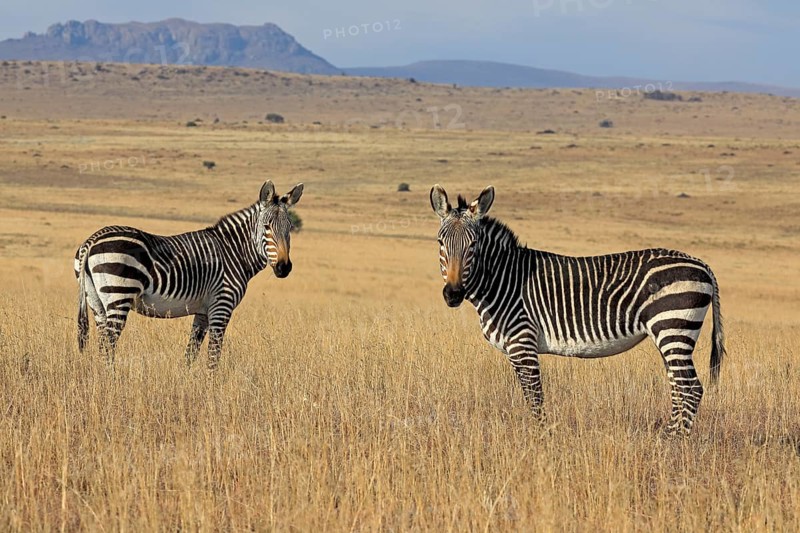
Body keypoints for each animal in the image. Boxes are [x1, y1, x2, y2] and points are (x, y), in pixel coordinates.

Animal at [74, 181, 304, 369]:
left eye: (290, 227)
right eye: (266, 227)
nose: (284, 268)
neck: (233, 252)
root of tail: (92, 240)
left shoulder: (203, 311)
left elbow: (191, 352)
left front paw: (189, 383)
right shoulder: (222, 305)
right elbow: (213, 355)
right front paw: (212, 387)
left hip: (96, 301)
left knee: (103, 343)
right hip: (119, 295)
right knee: (109, 344)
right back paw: (112, 382)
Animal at [430, 184, 725, 435]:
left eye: (473, 245)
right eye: (440, 242)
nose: (453, 294)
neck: (504, 280)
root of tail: (702, 264)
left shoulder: (522, 343)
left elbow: (534, 397)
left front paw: (541, 438)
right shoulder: (515, 350)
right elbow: (529, 395)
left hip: (673, 327)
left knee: (690, 389)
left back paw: (674, 442)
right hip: (670, 335)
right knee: (678, 387)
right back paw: (666, 435)